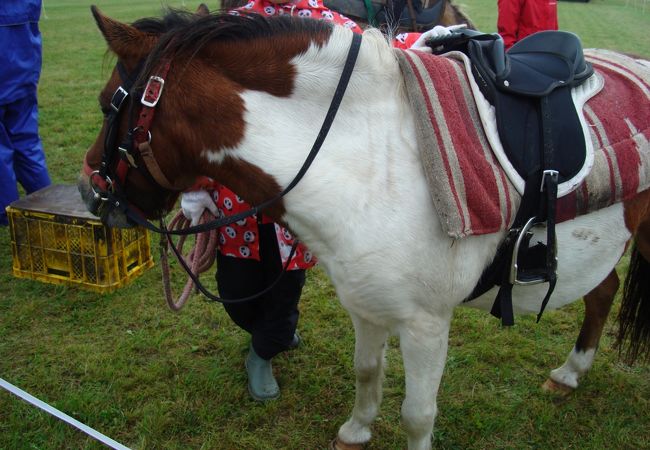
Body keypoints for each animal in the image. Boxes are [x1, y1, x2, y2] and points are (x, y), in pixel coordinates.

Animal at [81, 7, 648, 450]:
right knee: (604, 292)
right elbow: (366, 372)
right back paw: (570, 374)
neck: (379, 158)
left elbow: (418, 416)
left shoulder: (425, 325)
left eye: (109, 102)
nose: (91, 193)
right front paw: (355, 431)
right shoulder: (367, 304)